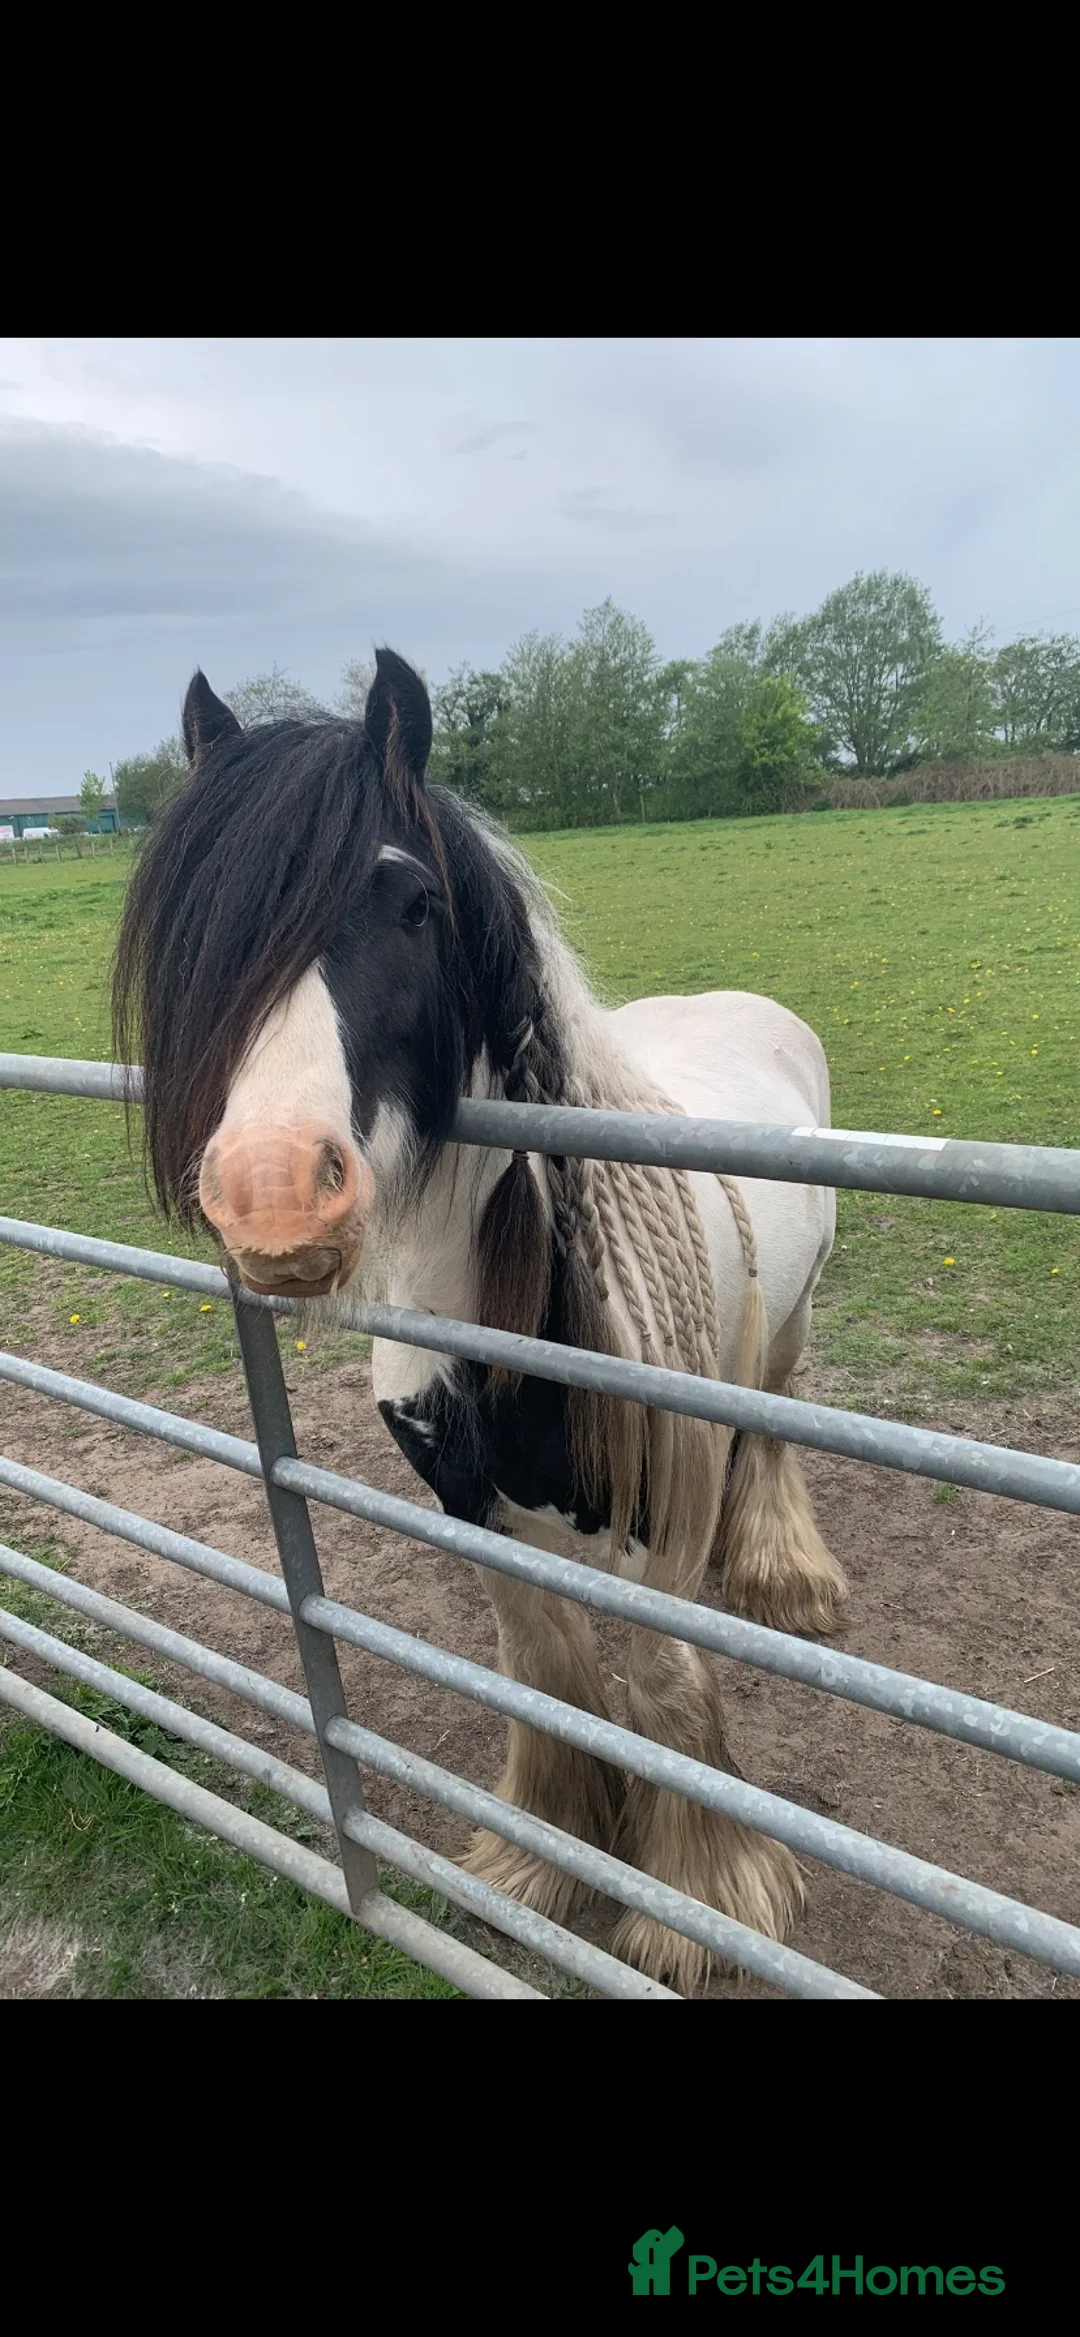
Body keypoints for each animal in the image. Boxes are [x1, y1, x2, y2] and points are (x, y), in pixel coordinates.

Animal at [113, 648, 848, 1992]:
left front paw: (694, 1907)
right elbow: (543, 1669)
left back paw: (783, 1573)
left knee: (771, 1432)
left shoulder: (663, 1525)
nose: (273, 1194)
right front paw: (543, 1858)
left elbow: (663, 1686)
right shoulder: (469, 1507)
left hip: (789, 1328)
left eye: (412, 904)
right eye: (203, 927)